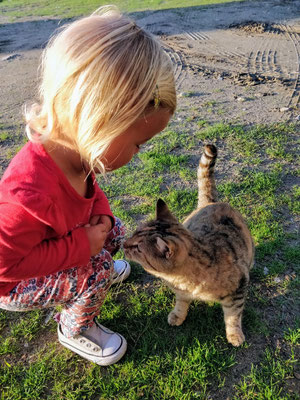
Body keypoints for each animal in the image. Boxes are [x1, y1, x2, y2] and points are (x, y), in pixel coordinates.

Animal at [123, 145, 254, 346]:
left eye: (137, 247)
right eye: (133, 234)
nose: (123, 243)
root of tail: (211, 201)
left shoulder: (238, 289)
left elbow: (233, 316)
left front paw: (234, 335)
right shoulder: (181, 292)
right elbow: (181, 303)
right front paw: (178, 315)